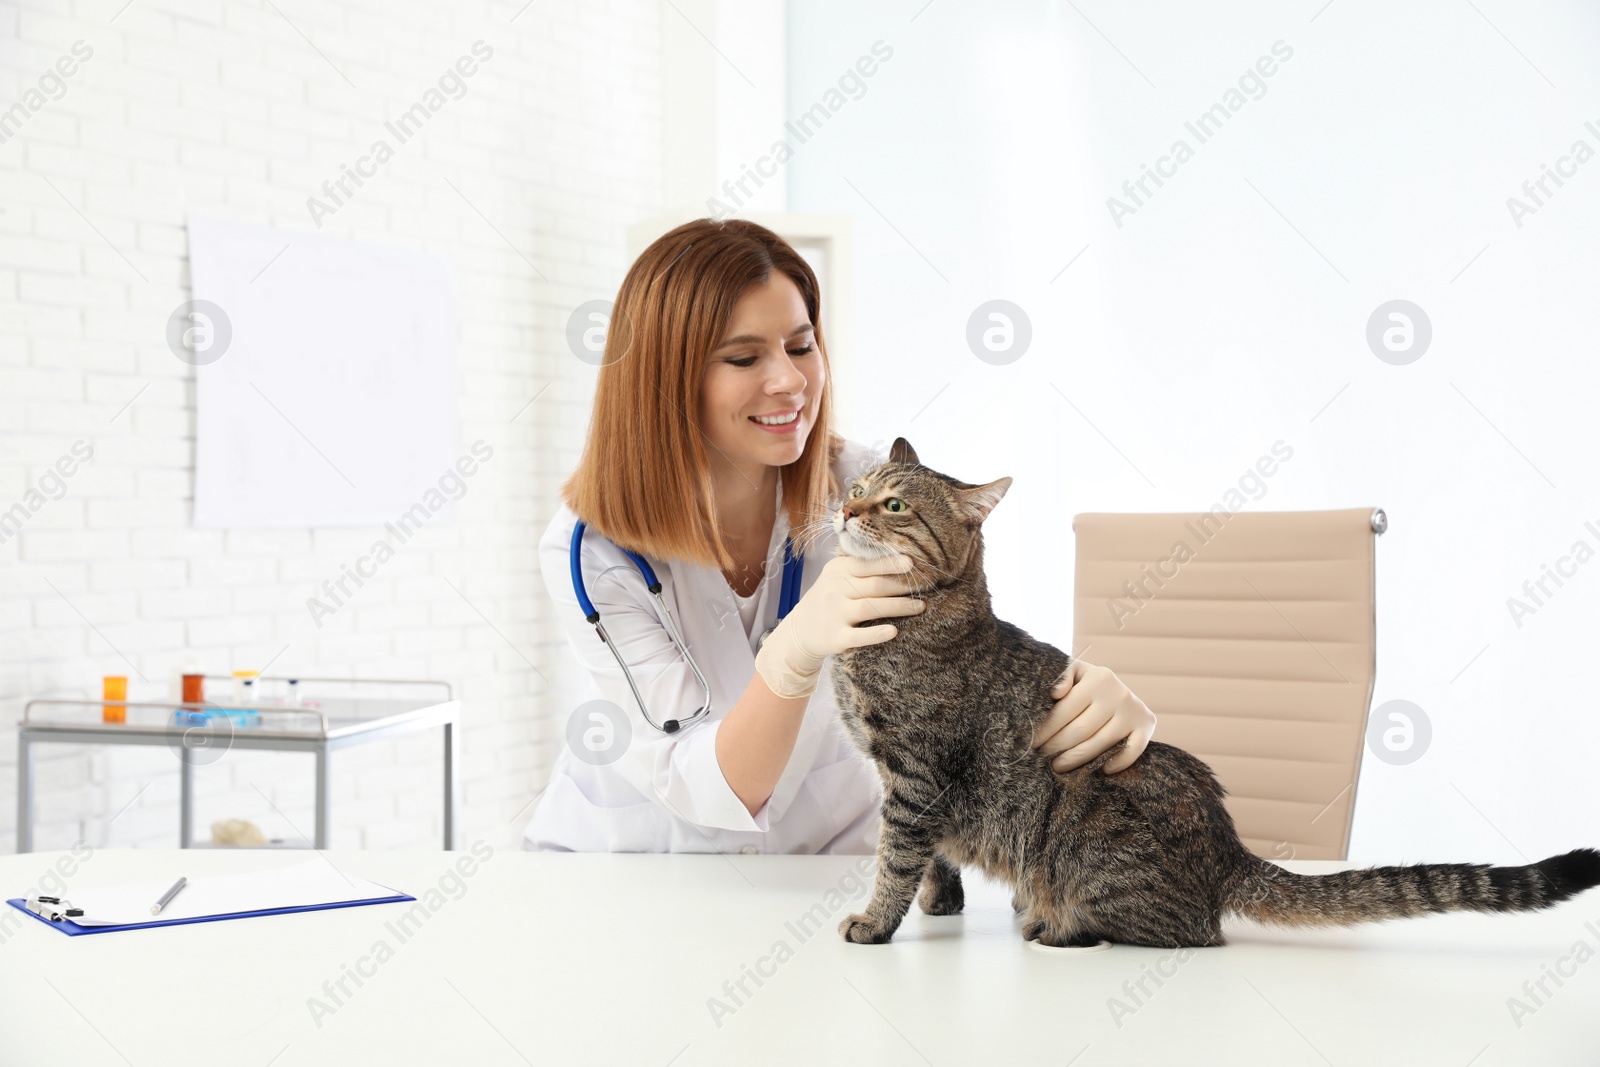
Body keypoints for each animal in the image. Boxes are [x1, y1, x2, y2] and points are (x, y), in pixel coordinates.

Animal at [825, 438, 1600, 947]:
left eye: (893, 503)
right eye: (858, 486)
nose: (845, 510)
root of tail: (1227, 849)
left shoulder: (916, 773)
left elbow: (897, 855)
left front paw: (878, 919)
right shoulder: (910, 779)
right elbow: (934, 855)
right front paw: (940, 901)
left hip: (1084, 840)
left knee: (1190, 931)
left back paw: (1056, 924)